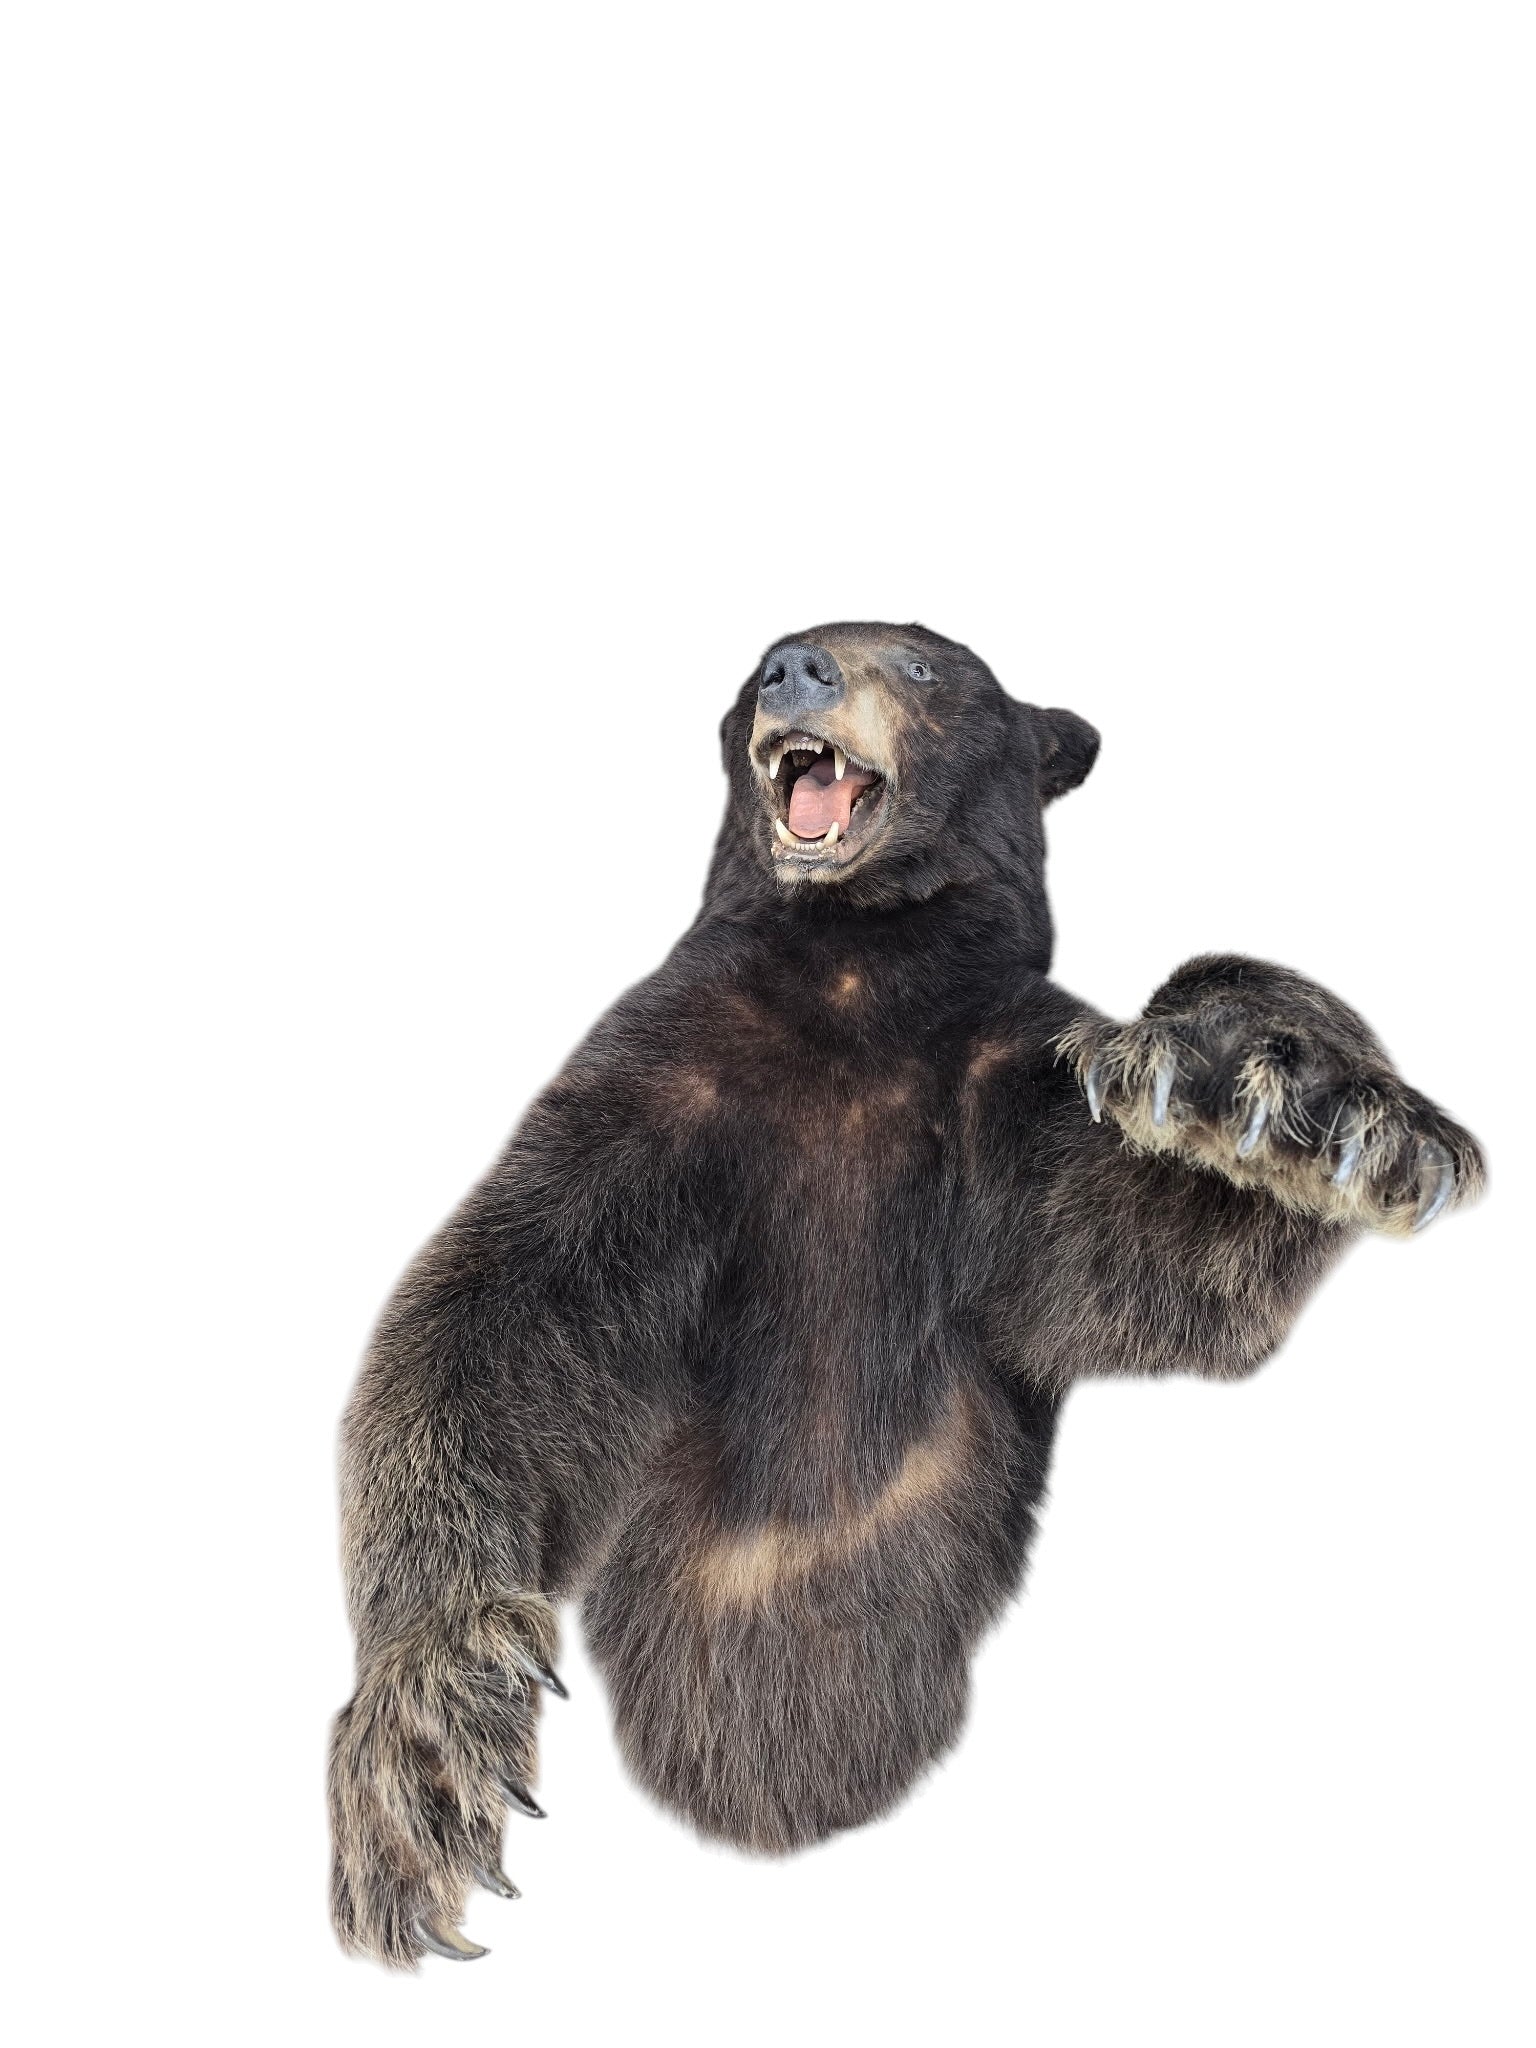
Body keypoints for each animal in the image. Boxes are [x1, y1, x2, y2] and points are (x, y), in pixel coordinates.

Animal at [328, 621, 1484, 1965]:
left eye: (925, 667)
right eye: (760, 664)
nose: (795, 669)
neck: (856, 967)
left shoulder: (992, 1093)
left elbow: (1151, 1236)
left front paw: (1293, 1091)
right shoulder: (667, 1078)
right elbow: (495, 1306)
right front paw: (426, 1735)